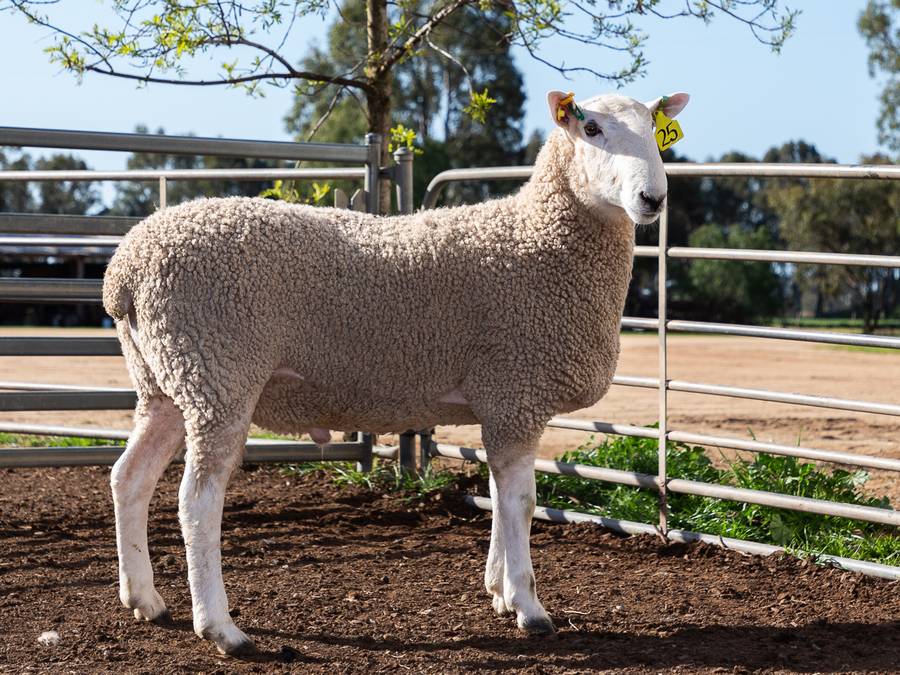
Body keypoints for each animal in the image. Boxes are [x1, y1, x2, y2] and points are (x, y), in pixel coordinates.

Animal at [103, 89, 689, 655]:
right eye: (591, 128)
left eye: (655, 131)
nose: (653, 199)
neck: (540, 238)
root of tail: (124, 271)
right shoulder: (516, 391)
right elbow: (522, 505)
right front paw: (528, 607)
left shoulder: (500, 401)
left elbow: (499, 498)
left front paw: (498, 591)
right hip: (218, 373)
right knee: (197, 501)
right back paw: (222, 630)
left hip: (166, 381)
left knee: (129, 478)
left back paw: (145, 600)